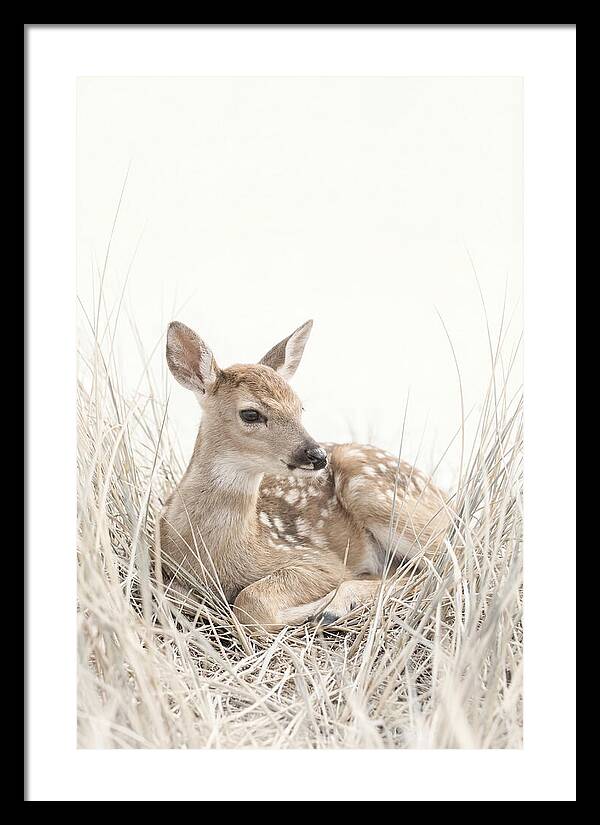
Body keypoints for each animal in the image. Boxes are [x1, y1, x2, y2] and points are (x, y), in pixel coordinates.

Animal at [159, 319, 450, 633]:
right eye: (250, 414)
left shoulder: (319, 560)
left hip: (373, 492)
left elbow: (251, 603)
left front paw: (312, 610)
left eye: (300, 407)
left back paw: (334, 607)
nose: (317, 455)